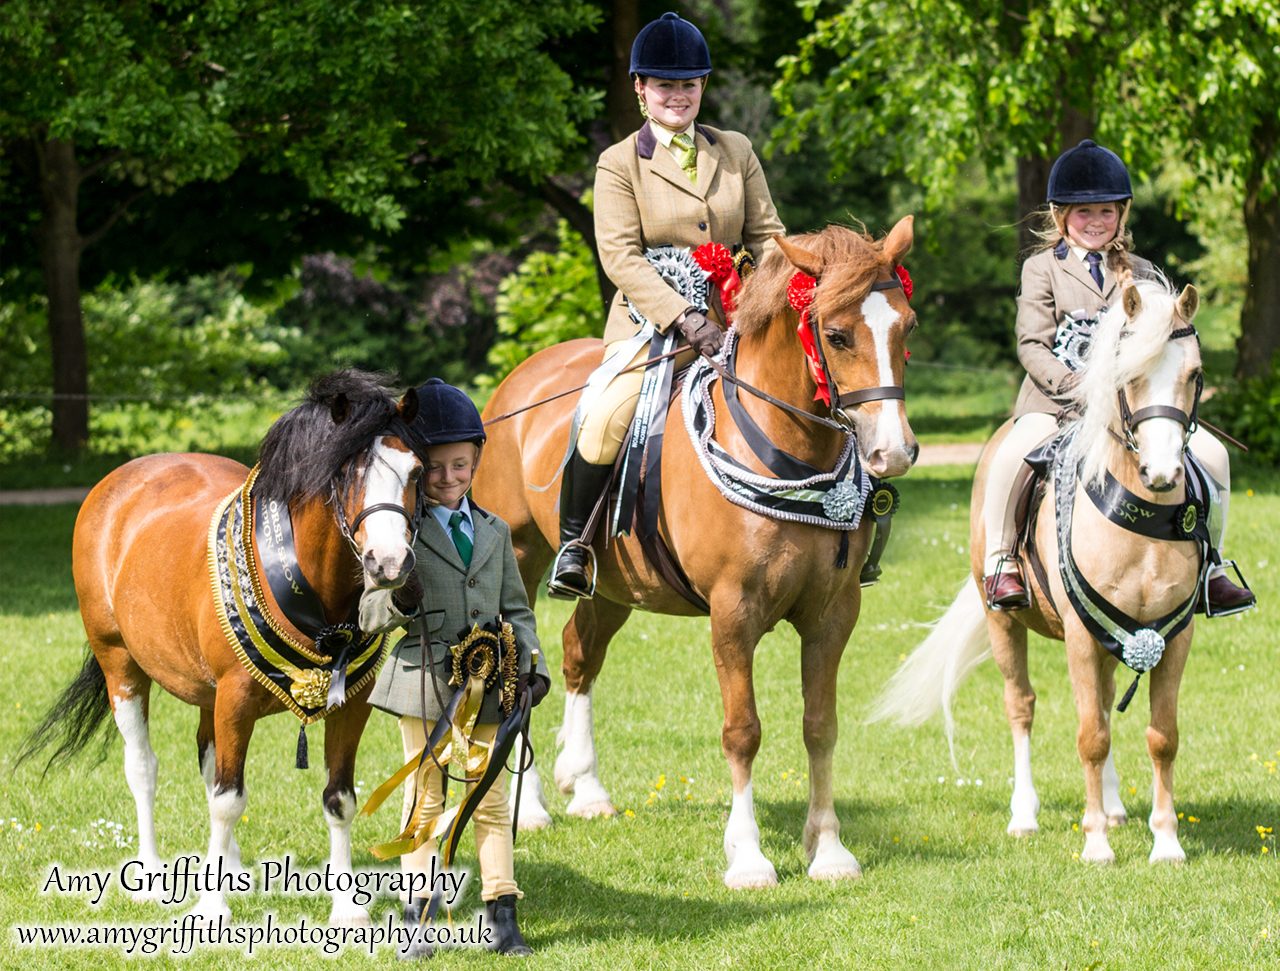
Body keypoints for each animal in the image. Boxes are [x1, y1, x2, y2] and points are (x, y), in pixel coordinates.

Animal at [20, 371, 422, 926]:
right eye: (346, 472)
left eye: (417, 471)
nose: (389, 563)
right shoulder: (235, 698)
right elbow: (227, 800)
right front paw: (212, 909)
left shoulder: (352, 703)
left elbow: (338, 798)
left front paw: (346, 909)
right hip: (119, 662)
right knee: (143, 768)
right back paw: (149, 874)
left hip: (207, 695)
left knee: (209, 764)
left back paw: (229, 867)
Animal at [476, 222, 916, 890]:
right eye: (838, 335)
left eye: (906, 327)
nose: (895, 452)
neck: (786, 453)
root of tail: (520, 379)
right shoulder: (733, 614)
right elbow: (743, 730)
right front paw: (749, 856)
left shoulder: (832, 614)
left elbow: (821, 727)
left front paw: (829, 848)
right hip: (520, 562)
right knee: (521, 670)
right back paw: (530, 811)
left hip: (614, 585)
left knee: (581, 653)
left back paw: (587, 788)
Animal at [875, 278, 1203, 864]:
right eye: (1129, 376)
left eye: (1192, 375)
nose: (1163, 474)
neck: (1139, 519)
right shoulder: (1078, 634)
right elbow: (1090, 736)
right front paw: (1095, 845)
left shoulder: (1172, 635)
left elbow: (1162, 736)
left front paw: (1166, 843)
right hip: (1003, 621)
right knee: (1021, 706)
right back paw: (1025, 815)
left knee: (1102, 701)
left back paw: (1114, 808)